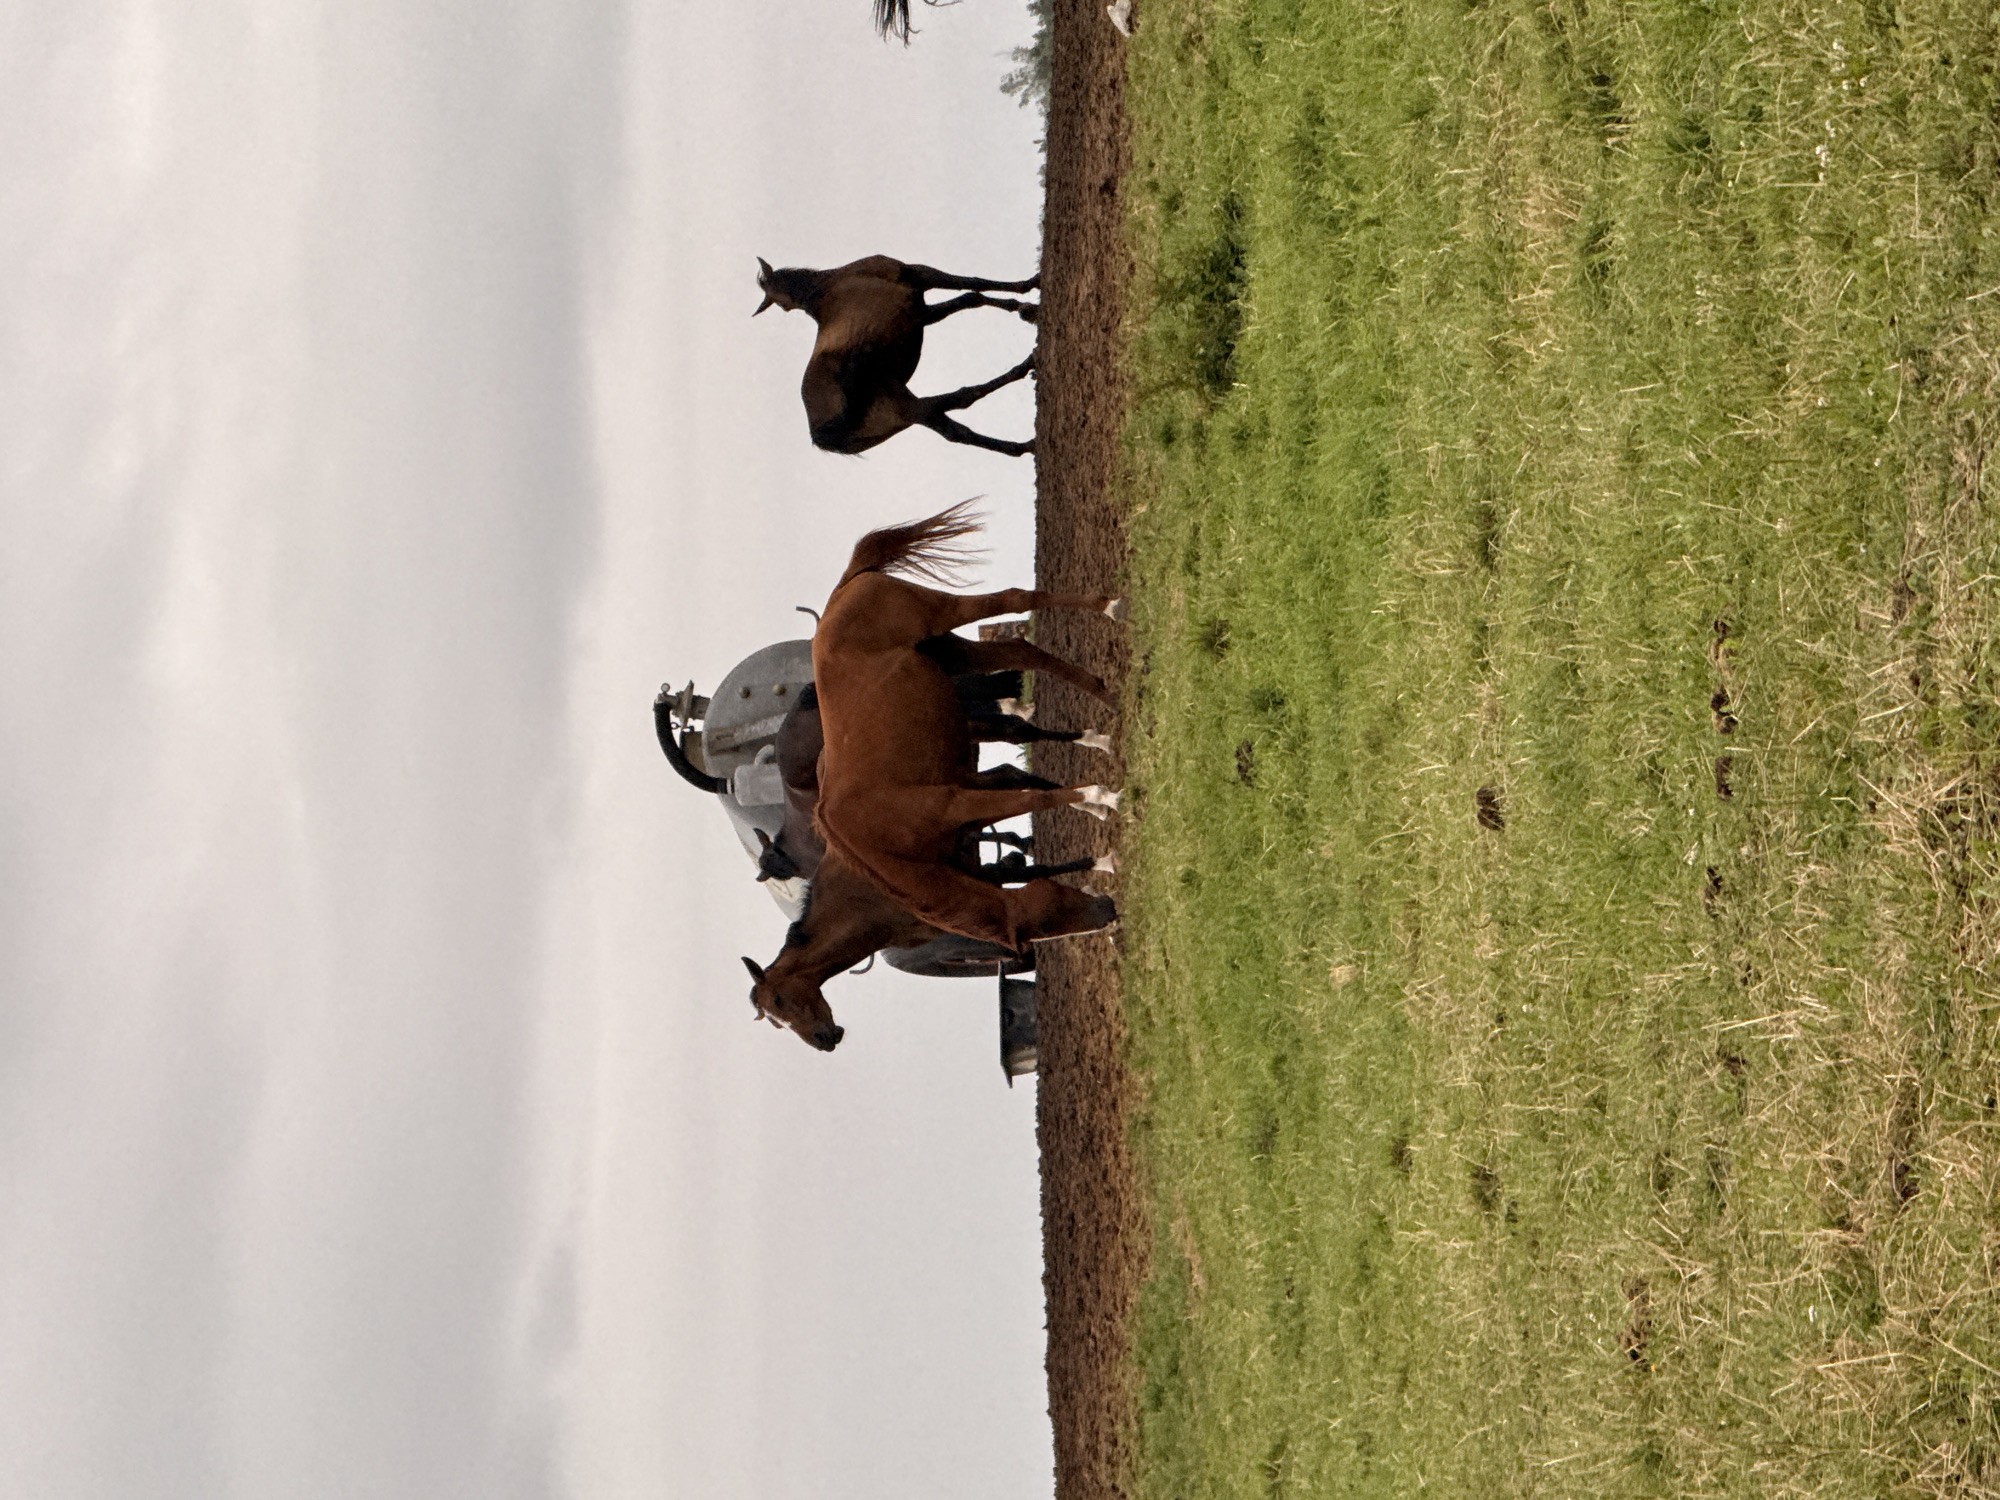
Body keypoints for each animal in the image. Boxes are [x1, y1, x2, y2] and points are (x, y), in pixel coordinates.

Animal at [754, 255, 1039, 457]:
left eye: (779, 303)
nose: (786, 306)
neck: (828, 284)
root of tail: (821, 436)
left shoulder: (922, 309)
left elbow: (971, 293)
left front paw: (1023, 301)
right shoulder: (918, 286)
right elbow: (971, 291)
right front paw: (1027, 295)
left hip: (905, 415)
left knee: (957, 431)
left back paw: (1023, 446)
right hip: (904, 403)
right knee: (963, 397)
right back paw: (1025, 368)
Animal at [811, 503, 1125, 953]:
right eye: (1045, 927)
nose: (1110, 913)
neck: (876, 841)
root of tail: (842, 590)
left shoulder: (959, 803)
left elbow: (1038, 797)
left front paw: (1104, 797)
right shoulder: (973, 794)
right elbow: (1033, 788)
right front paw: (1100, 816)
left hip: (942, 613)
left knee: (1015, 599)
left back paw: (1109, 607)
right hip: (953, 652)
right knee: (1023, 652)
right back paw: (1105, 702)